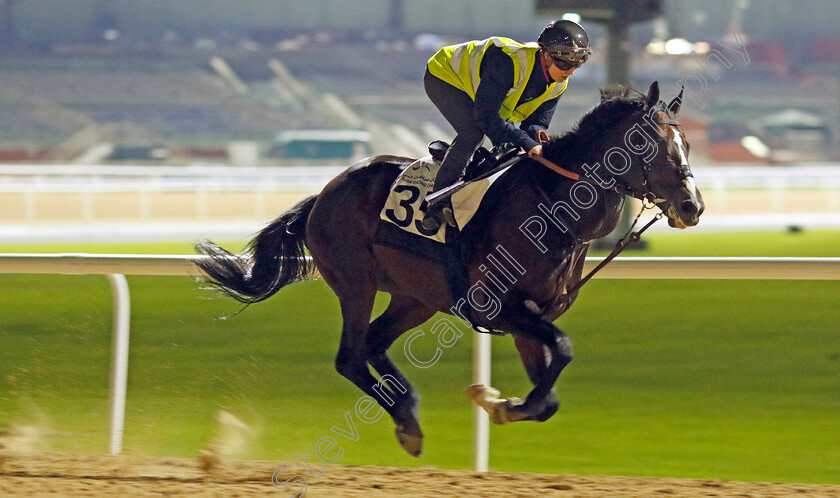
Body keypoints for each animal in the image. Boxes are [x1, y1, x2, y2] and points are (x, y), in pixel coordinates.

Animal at [195, 81, 704, 460]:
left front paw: (499, 403)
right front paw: (497, 402)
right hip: (356, 283)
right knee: (351, 356)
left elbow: (549, 395)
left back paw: (407, 409)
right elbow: (563, 350)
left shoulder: (529, 318)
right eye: (649, 144)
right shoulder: (499, 307)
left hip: (415, 298)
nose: (692, 206)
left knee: (374, 344)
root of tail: (323, 193)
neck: (554, 209)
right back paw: (406, 421)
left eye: (687, 143)